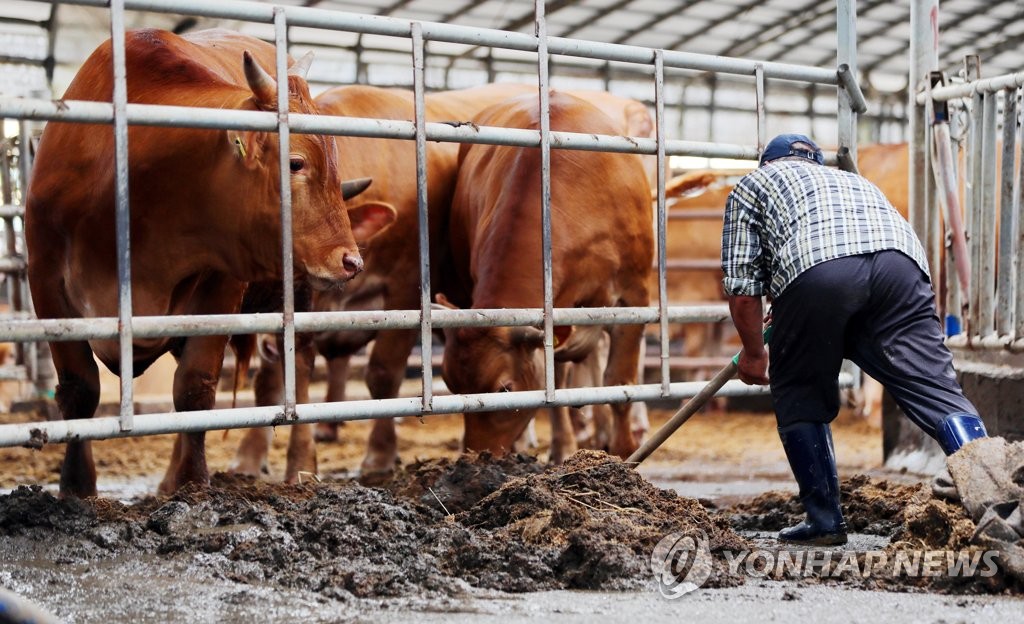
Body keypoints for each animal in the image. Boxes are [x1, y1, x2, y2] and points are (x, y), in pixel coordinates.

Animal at [25, 27, 395, 495]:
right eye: (295, 163)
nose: (350, 261)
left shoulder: (220, 285)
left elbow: (195, 388)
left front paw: (194, 482)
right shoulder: (45, 282)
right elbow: (79, 388)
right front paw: (76, 487)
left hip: (296, 297)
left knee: (298, 368)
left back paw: (300, 466)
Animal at [436, 90, 651, 459]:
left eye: (505, 389)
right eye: (451, 385)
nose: (476, 457)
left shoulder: (633, 296)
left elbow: (619, 384)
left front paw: (624, 452)